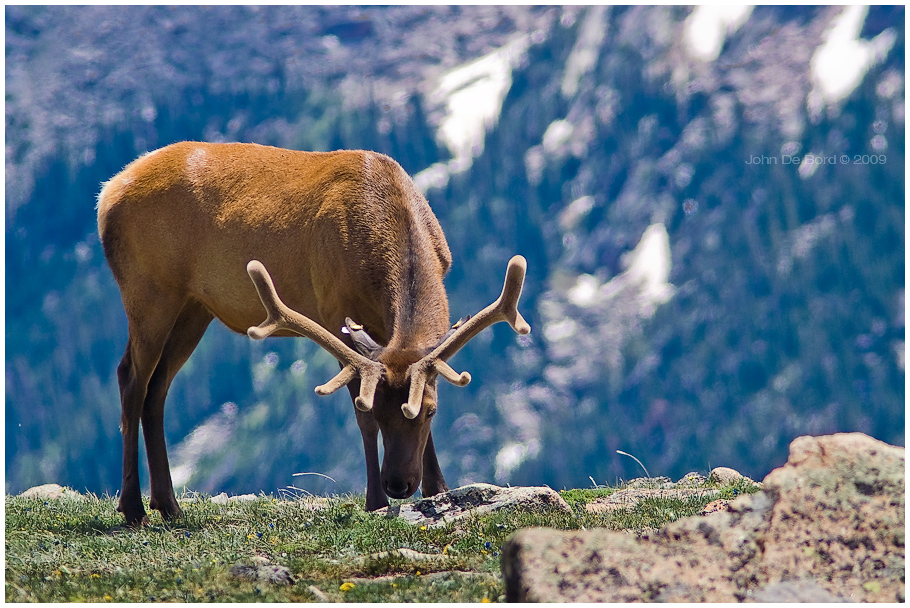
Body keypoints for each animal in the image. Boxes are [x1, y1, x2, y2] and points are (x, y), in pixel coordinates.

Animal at [96, 142, 532, 528]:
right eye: (378, 411)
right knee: (130, 380)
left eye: (429, 412)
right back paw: (133, 508)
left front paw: (438, 490)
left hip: (194, 307)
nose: (399, 484)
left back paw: (168, 506)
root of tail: (106, 195)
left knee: (157, 389)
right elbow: (357, 411)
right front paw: (375, 501)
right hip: (148, 289)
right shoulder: (334, 310)